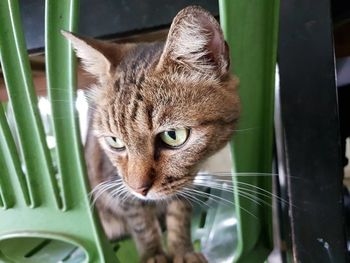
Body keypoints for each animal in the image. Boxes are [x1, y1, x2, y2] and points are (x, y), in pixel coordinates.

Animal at [63, 6, 239, 263]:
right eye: (115, 141)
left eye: (173, 135)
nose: (139, 190)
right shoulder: (119, 189)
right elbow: (142, 225)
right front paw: (153, 254)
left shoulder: (184, 182)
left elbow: (179, 215)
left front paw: (182, 250)